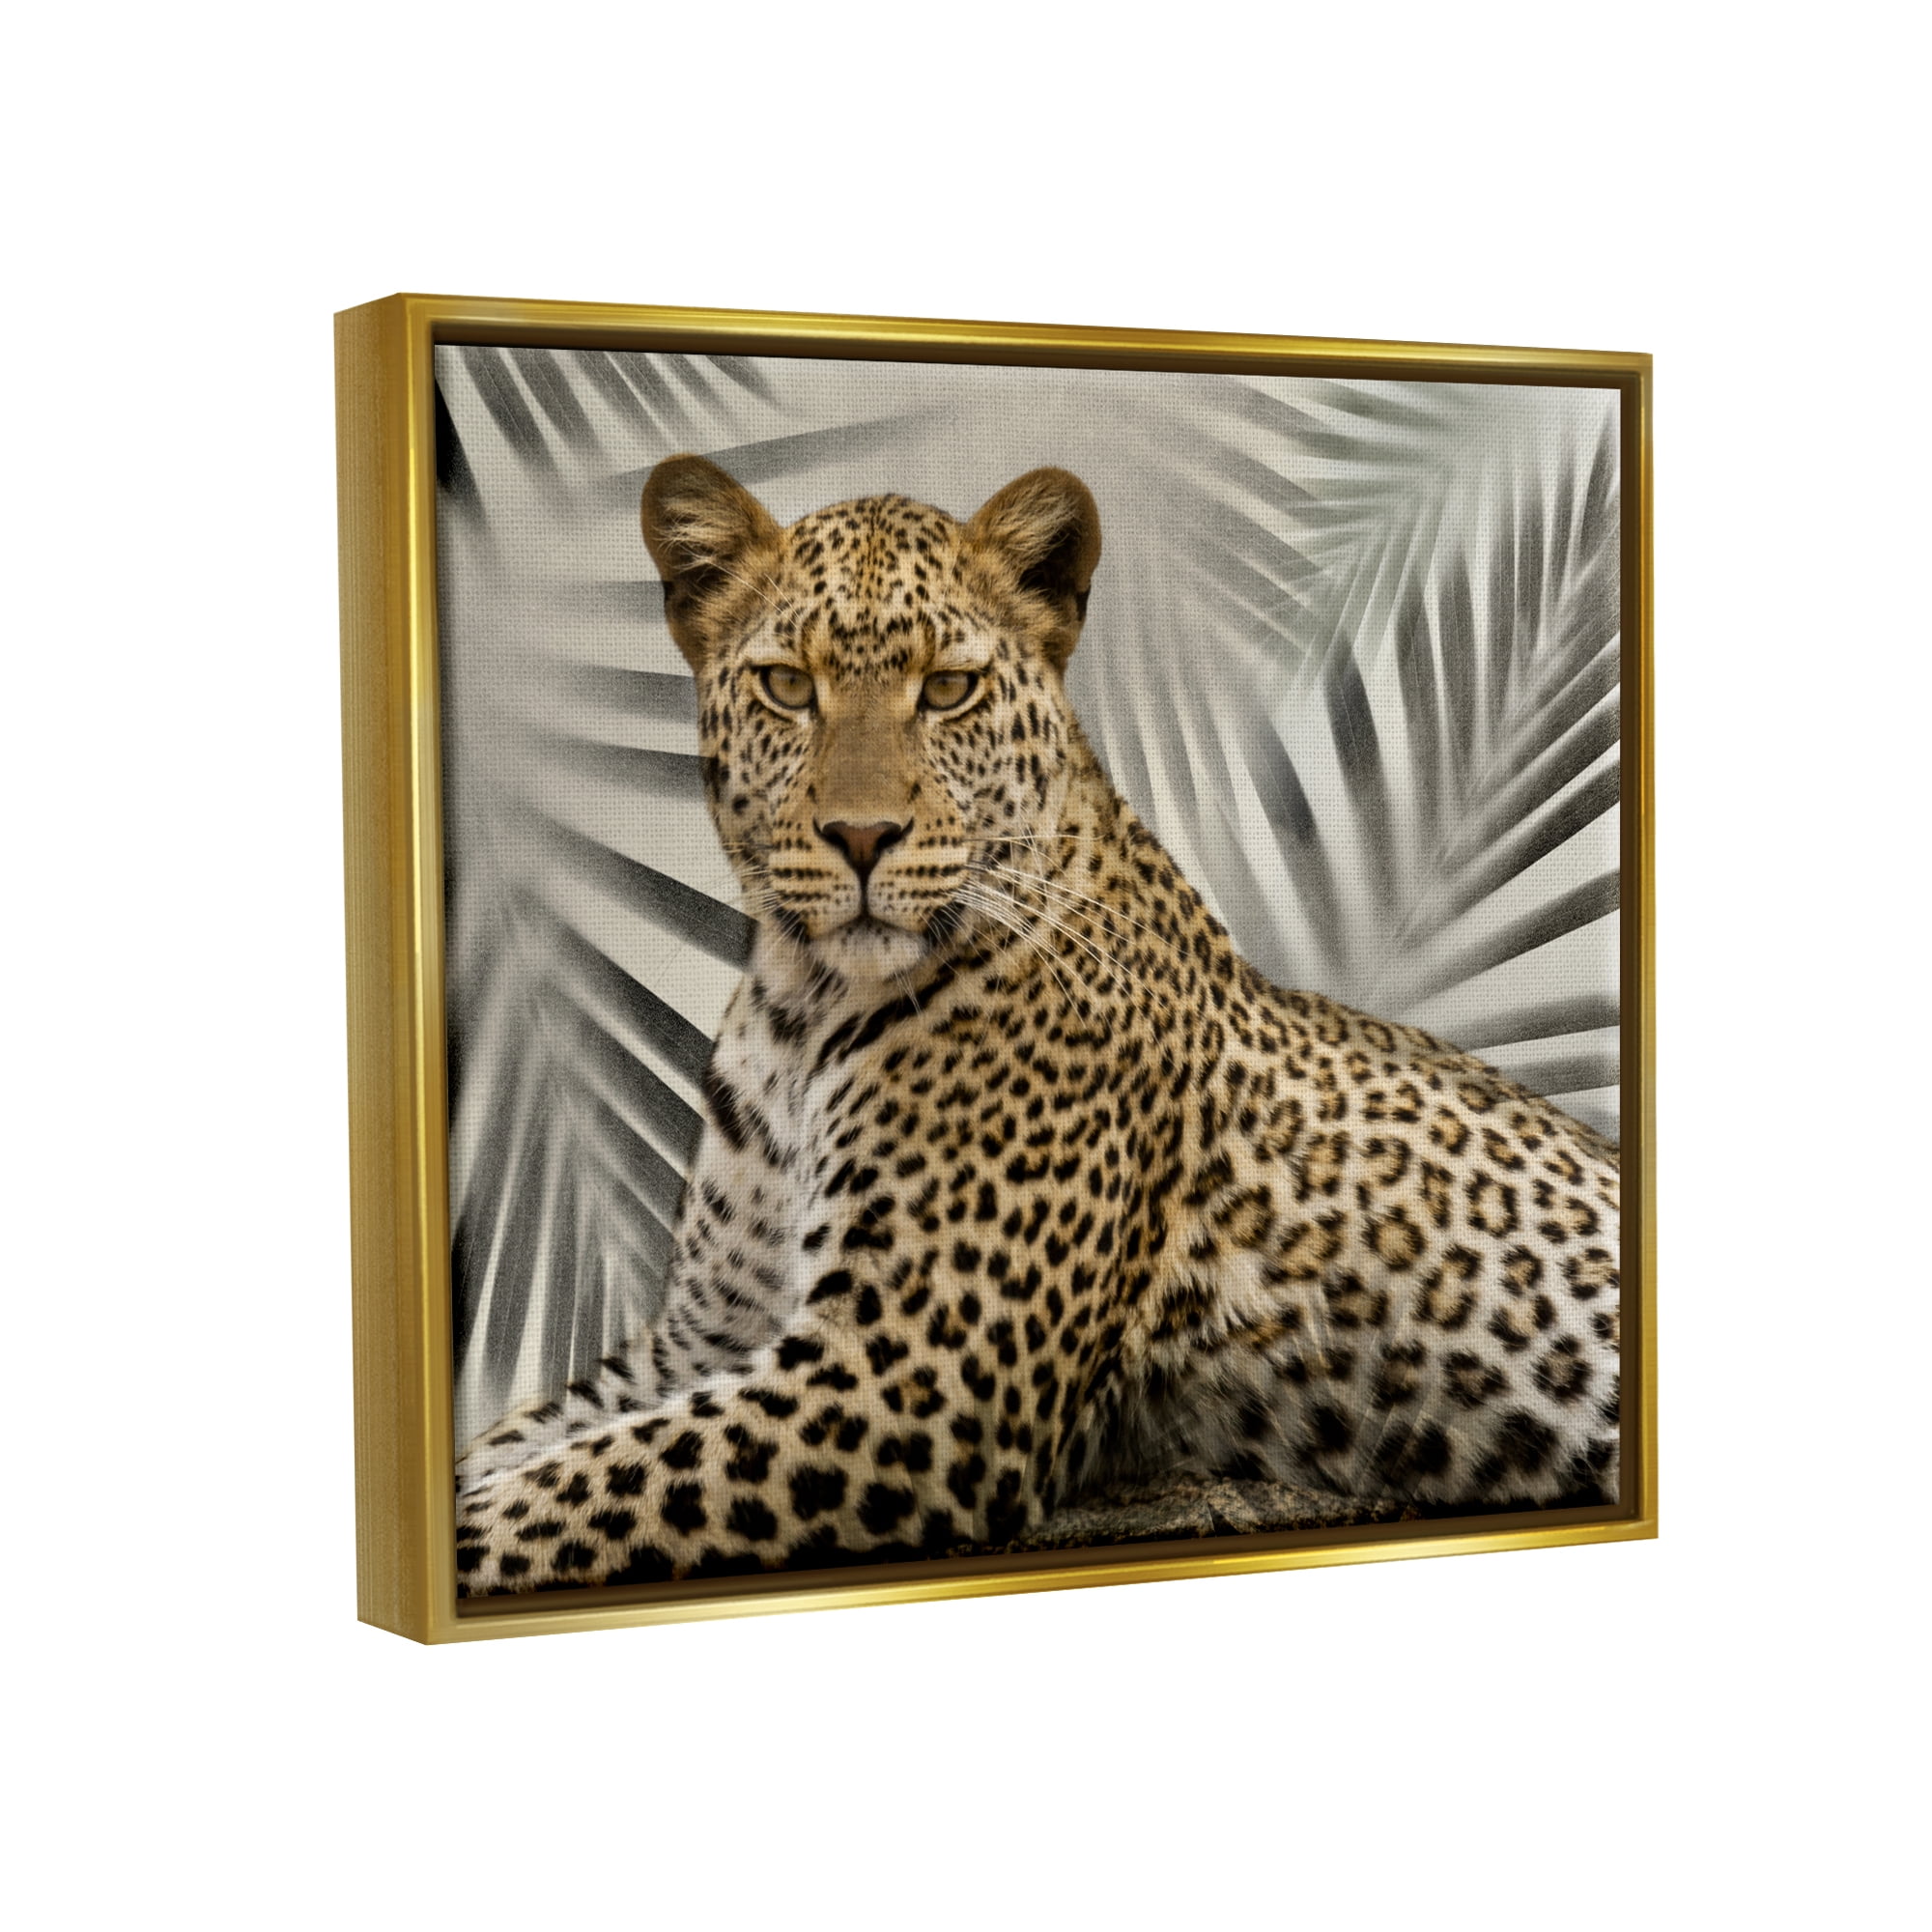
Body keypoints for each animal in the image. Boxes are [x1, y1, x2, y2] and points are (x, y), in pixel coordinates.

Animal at [452, 454, 1621, 1595]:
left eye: (948, 689)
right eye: (787, 686)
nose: (861, 836)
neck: (799, 1008)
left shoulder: (905, 1377)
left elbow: (555, 1497)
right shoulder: (700, 1338)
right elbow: (523, 1444)